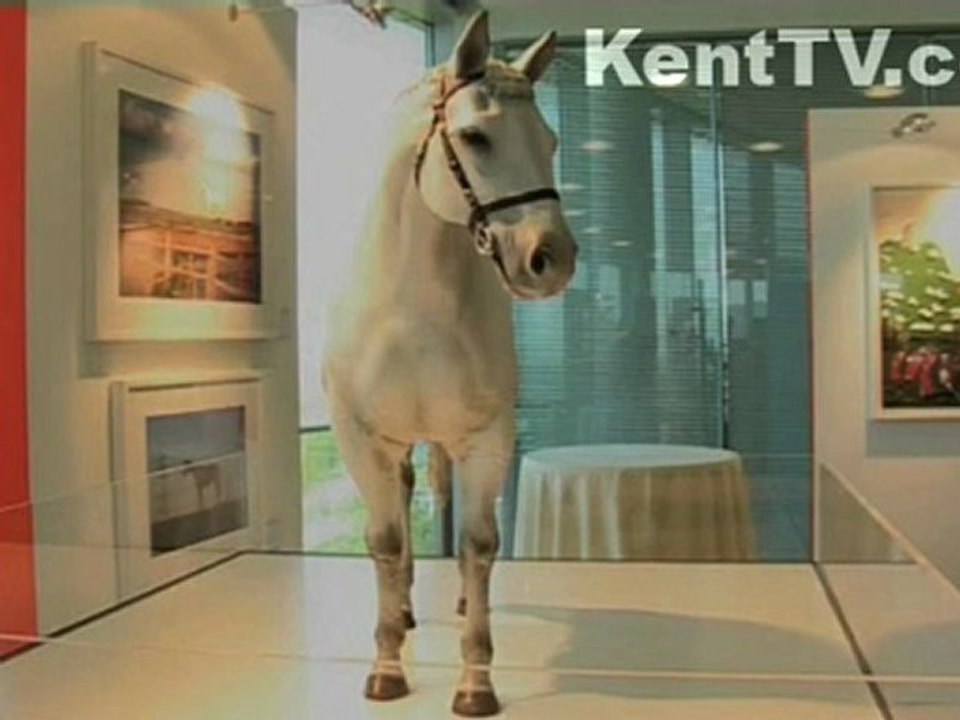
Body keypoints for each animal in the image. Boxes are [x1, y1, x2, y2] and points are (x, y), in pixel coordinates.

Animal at [322, 11, 577, 717]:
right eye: (475, 136)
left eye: (548, 139)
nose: (551, 258)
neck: (411, 318)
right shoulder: (362, 440)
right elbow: (382, 542)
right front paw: (386, 667)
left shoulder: (485, 438)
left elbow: (478, 544)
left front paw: (475, 681)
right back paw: (406, 611)